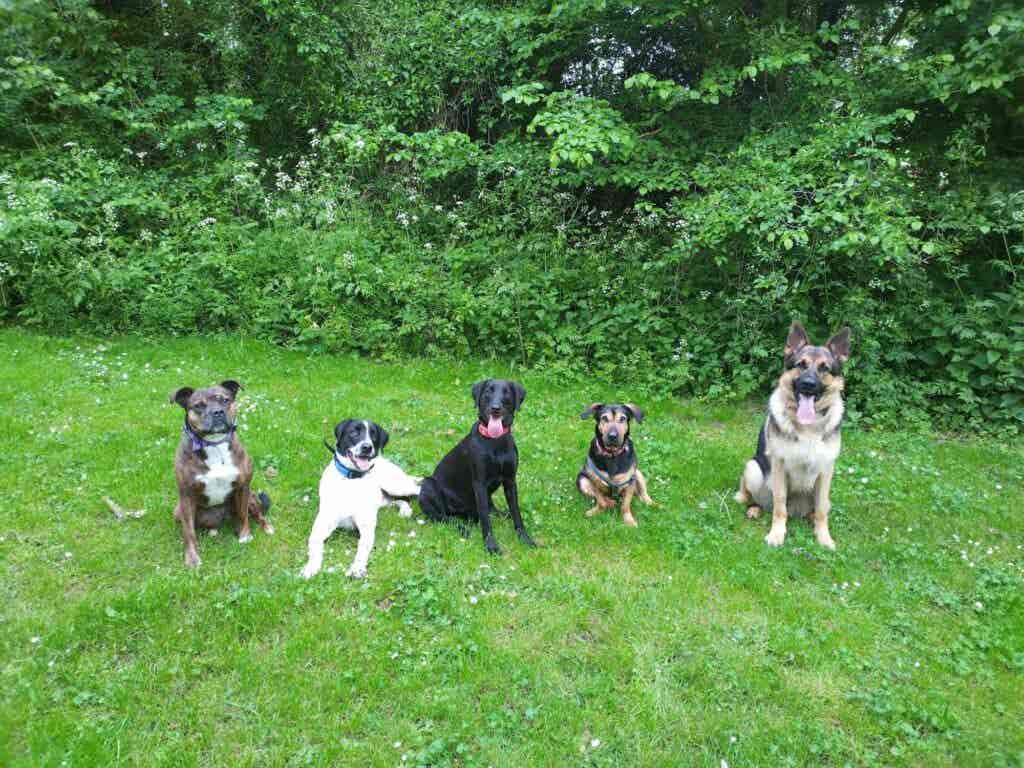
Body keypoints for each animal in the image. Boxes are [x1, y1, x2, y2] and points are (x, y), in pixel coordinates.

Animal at [170, 381, 273, 567]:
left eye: (225, 400)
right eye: (198, 405)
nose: (217, 412)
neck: (214, 444)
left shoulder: (243, 487)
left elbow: (243, 515)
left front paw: (245, 536)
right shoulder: (186, 495)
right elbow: (188, 531)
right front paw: (192, 558)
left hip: (252, 497)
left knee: (257, 514)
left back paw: (266, 527)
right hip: (178, 511)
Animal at [301, 419, 421, 579]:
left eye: (373, 434)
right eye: (354, 432)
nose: (367, 447)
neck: (352, 480)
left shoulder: (366, 527)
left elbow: (362, 549)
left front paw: (357, 568)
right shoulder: (322, 525)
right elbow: (314, 546)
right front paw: (311, 567)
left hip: (396, 485)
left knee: (416, 491)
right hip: (384, 497)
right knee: (397, 500)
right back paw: (404, 510)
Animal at [418, 379, 536, 554]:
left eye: (507, 392)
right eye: (488, 392)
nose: (495, 408)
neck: (495, 442)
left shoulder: (510, 481)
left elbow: (516, 514)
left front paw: (525, 538)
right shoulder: (479, 484)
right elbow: (486, 520)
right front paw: (491, 545)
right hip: (428, 485)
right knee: (444, 518)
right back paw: (462, 528)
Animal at [735, 322, 851, 549]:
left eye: (824, 368)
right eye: (801, 365)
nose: (808, 384)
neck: (809, 428)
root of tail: (796, 511)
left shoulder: (826, 471)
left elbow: (822, 510)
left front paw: (824, 537)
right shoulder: (780, 466)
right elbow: (779, 504)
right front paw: (776, 534)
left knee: (818, 508)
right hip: (753, 469)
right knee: (762, 502)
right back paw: (754, 509)